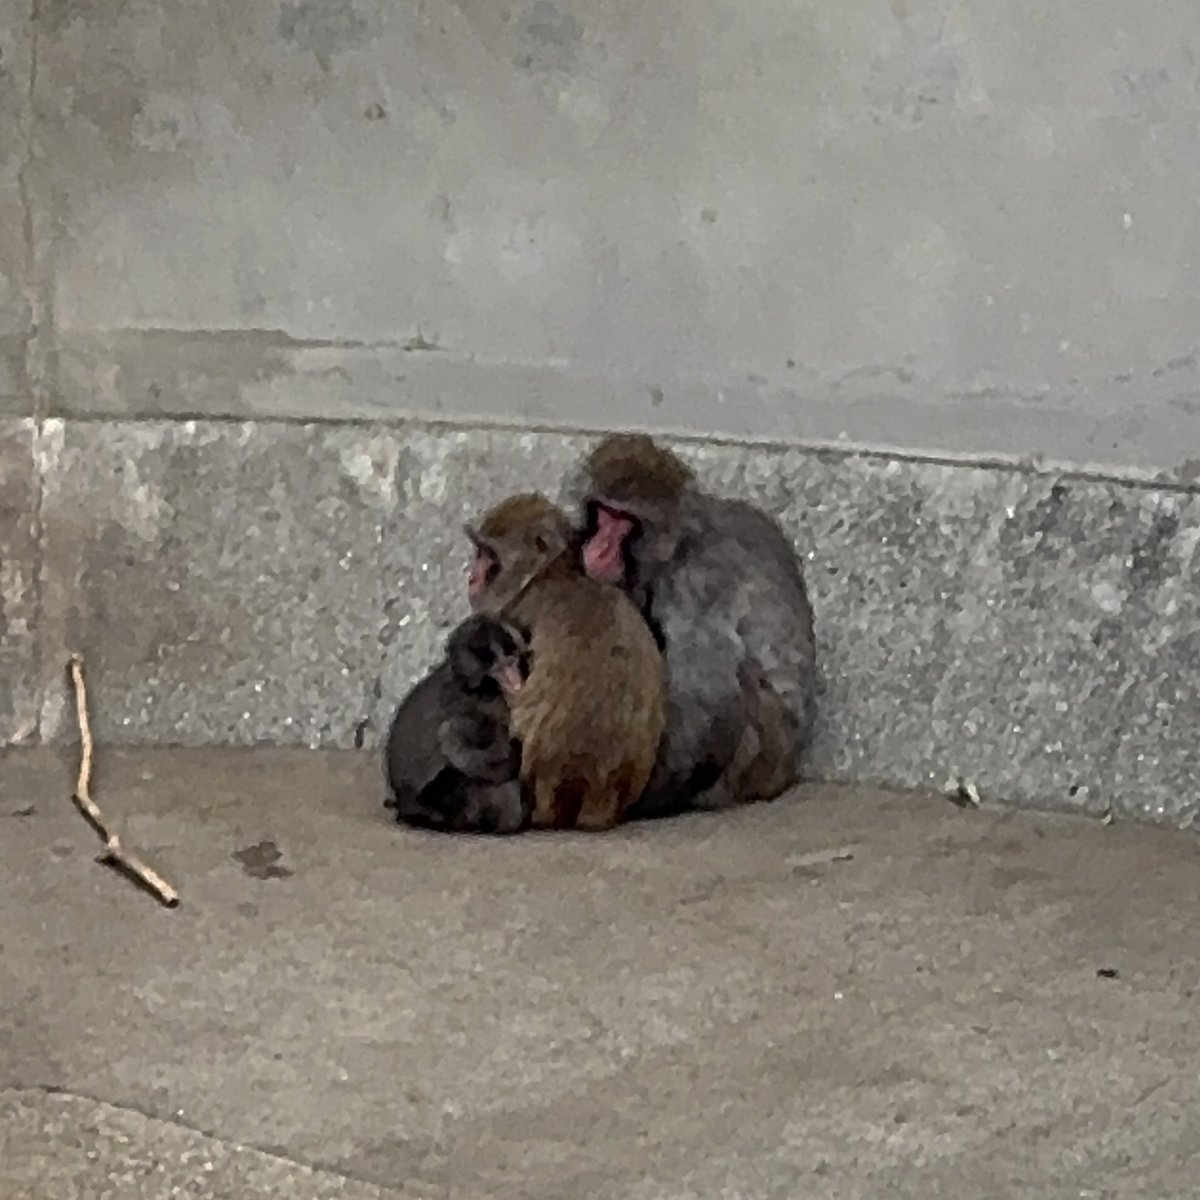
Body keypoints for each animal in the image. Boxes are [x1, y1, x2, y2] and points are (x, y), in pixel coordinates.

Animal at [383, 612, 533, 835]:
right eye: (500, 669)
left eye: (512, 663)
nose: (515, 680)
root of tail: (405, 809)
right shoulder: (479, 707)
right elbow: (452, 740)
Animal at [465, 492, 667, 831]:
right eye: (479, 552)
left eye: (489, 556)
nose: (473, 578)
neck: (554, 572)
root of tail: (597, 791)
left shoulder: (515, 616)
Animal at [564, 432, 818, 819]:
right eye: (603, 513)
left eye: (625, 521)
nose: (600, 548)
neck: (677, 545)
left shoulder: (700, 580)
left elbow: (708, 695)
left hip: (756, 763)